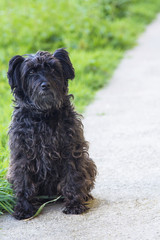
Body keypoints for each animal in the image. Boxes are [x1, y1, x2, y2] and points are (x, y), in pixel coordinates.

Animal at [7, 48, 96, 219]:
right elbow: (23, 181)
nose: (45, 85)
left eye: (53, 69)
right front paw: (24, 208)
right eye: (31, 72)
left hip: (88, 163)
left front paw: (75, 204)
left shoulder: (71, 151)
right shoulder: (22, 155)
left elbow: (72, 177)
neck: (44, 115)